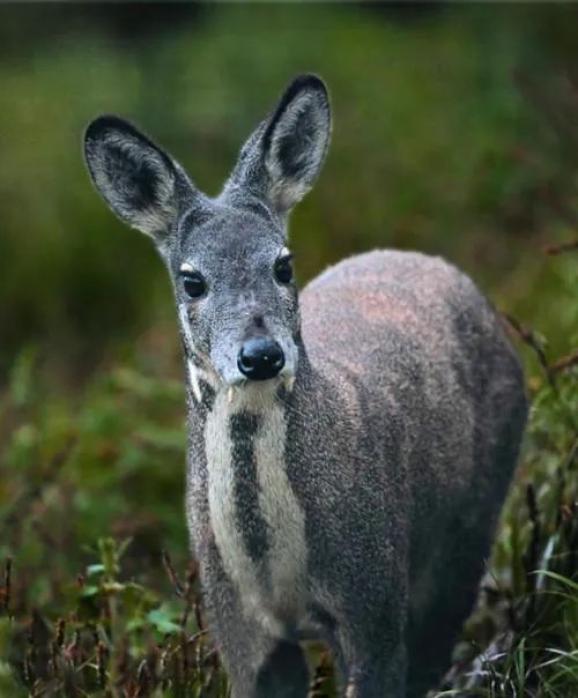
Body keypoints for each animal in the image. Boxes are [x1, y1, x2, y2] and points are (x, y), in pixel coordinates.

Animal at [82, 73, 528, 692]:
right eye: (192, 280)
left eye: (283, 264)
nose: (261, 355)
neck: (274, 569)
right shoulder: (236, 625)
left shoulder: (373, 596)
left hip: (472, 524)